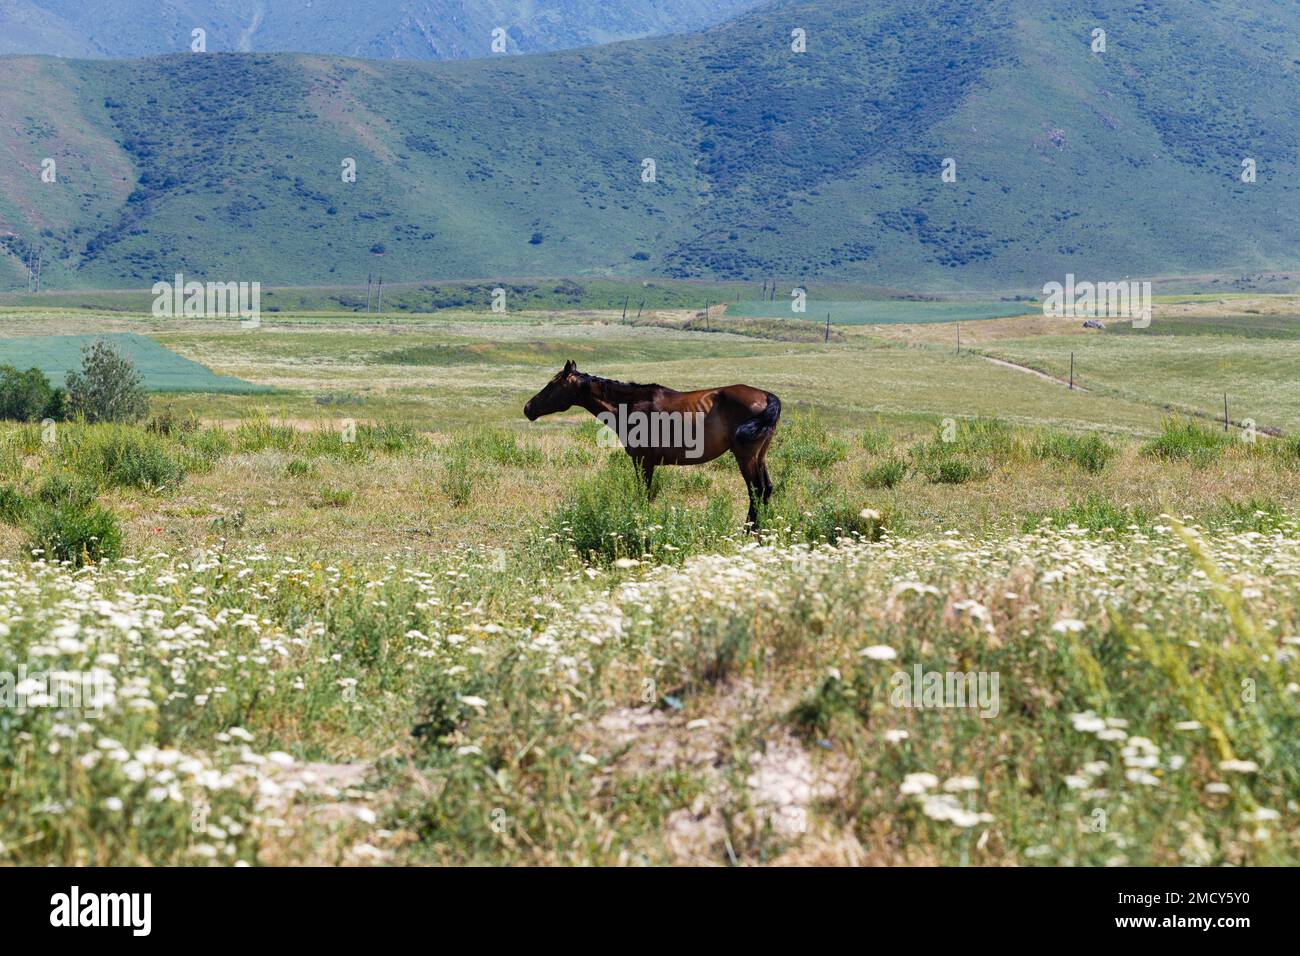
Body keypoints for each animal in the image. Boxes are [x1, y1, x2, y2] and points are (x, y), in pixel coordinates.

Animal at [524, 360, 781, 526]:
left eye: (551, 384)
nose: (528, 408)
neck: (629, 406)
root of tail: (767, 396)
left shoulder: (643, 461)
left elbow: (644, 494)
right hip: (759, 456)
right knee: (766, 489)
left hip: (745, 456)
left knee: (757, 490)